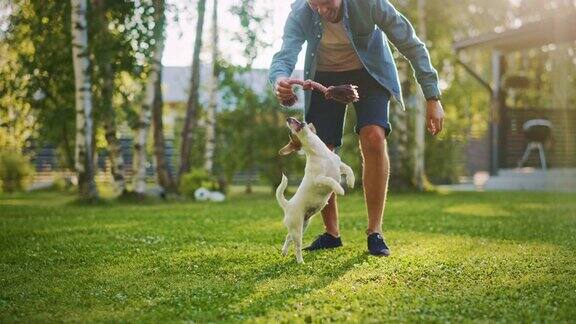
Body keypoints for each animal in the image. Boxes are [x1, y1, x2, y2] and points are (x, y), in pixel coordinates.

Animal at [276, 116, 354, 264]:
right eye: (290, 135)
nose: (288, 118)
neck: (321, 153)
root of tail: (287, 205)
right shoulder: (319, 179)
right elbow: (330, 180)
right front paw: (339, 189)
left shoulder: (339, 166)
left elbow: (348, 169)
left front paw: (351, 181)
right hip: (297, 228)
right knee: (297, 246)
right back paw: (300, 261)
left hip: (303, 225)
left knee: (288, 237)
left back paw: (284, 252)